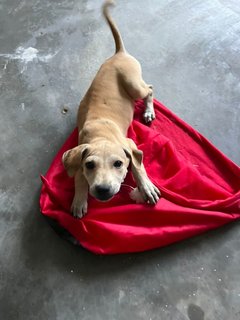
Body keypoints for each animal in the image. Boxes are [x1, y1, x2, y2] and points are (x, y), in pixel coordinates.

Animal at [62, 0, 160, 218]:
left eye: (118, 164)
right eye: (90, 165)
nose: (103, 190)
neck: (101, 135)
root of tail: (119, 53)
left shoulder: (130, 143)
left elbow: (138, 166)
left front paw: (146, 187)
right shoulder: (78, 152)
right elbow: (78, 176)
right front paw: (79, 198)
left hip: (133, 84)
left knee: (149, 88)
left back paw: (148, 111)